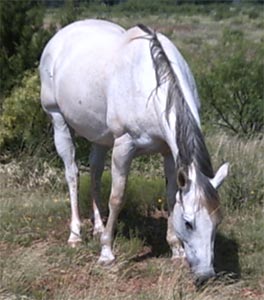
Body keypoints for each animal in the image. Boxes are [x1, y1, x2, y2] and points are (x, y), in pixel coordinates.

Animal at [39, 19, 229, 282]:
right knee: (72, 174)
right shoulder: (123, 147)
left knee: (95, 173)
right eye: (189, 223)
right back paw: (76, 235)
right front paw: (106, 252)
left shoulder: (169, 153)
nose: (206, 274)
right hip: (58, 119)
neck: (148, 83)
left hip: (99, 136)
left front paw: (175, 249)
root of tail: (60, 36)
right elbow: (117, 197)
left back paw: (98, 227)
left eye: (217, 221)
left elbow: (171, 196)